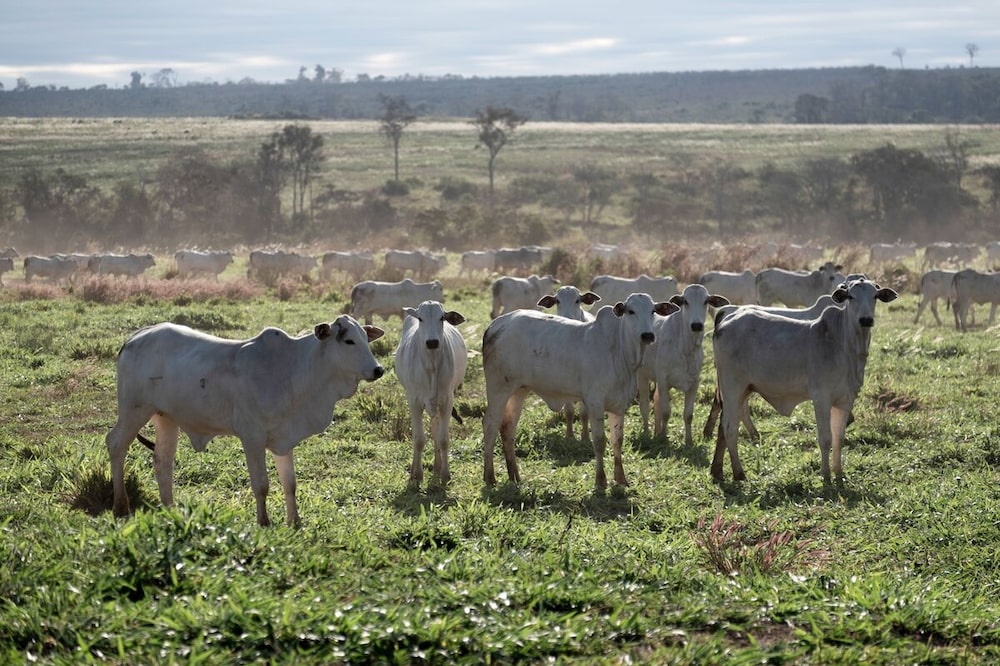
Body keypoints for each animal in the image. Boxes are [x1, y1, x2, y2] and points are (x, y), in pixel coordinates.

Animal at [106, 316, 386, 526]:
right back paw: (121, 506)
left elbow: (290, 484)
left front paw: (294, 521)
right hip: (134, 411)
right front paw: (264, 521)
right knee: (116, 445)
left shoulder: (283, 439)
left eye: (365, 339)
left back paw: (170, 509)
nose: (378, 369)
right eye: (349, 341)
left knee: (162, 461)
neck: (293, 370)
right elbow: (261, 485)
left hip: (165, 418)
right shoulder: (252, 438)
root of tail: (137, 337)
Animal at [394, 301, 468, 487]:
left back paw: (437, 465)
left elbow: (443, 439)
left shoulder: (447, 401)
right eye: (421, 318)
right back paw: (414, 471)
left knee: (435, 431)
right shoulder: (414, 402)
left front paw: (445, 474)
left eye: (442, 318)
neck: (432, 365)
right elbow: (418, 439)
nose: (432, 342)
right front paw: (417, 474)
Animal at [537, 285, 602, 441]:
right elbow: (569, 411)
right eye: (557, 301)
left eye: (577, 300)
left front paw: (585, 437)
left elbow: (584, 414)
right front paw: (569, 435)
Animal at [636, 284, 729, 445]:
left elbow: (688, 415)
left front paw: (688, 441)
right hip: (642, 376)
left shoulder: (693, 384)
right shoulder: (664, 381)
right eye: (685, 301)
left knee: (656, 401)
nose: (696, 325)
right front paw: (663, 437)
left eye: (706, 301)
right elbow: (666, 412)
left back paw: (656, 431)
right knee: (645, 407)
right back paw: (648, 434)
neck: (686, 348)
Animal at [710, 278, 897, 484]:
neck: (844, 346)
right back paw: (739, 473)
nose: (866, 320)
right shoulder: (821, 397)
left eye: (875, 296)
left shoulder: (845, 400)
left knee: (725, 425)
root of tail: (726, 319)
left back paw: (717, 470)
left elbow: (839, 438)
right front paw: (826, 475)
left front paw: (839, 473)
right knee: (730, 427)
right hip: (732, 388)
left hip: (744, 390)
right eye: (851, 296)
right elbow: (825, 438)